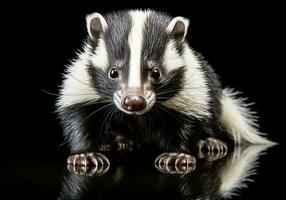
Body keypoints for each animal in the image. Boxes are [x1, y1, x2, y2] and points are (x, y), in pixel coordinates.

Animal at [55, 9, 272, 166]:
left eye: (156, 73)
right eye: (113, 72)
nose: (134, 102)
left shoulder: (192, 87)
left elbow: (188, 120)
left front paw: (177, 155)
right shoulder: (82, 84)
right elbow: (78, 117)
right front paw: (86, 155)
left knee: (210, 115)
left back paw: (210, 143)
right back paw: (117, 140)